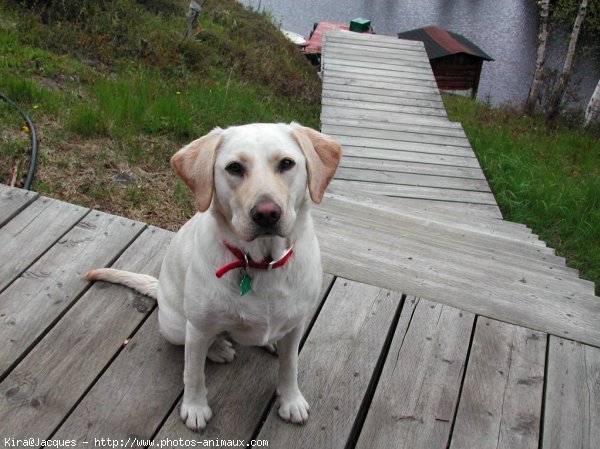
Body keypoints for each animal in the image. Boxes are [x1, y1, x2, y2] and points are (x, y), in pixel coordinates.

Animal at [86, 121, 344, 430]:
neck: (261, 262)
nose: (267, 214)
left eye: (286, 163)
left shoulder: (296, 325)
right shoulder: (197, 329)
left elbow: (290, 366)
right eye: (234, 168)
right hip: (176, 325)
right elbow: (193, 374)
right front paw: (195, 408)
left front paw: (291, 400)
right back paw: (219, 348)